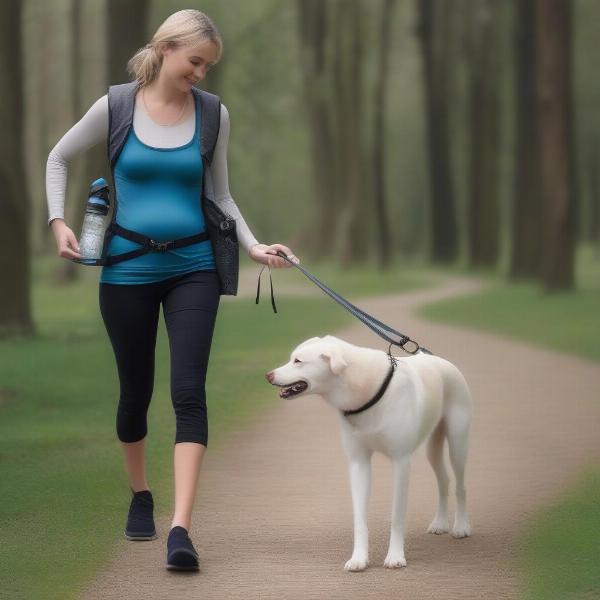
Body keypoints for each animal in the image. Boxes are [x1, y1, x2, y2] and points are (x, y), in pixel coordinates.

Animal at [264, 336, 472, 568]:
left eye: (298, 361)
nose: (268, 375)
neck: (366, 386)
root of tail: (439, 360)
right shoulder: (358, 463)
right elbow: (359, 518)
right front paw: (359, 559)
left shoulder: (401, 462)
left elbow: (397, 517)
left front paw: (395, 557)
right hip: (433, 448)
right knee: (444, 480)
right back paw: (440, 523)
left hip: (457, 443)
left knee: (460, 485)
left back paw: (461, 527)